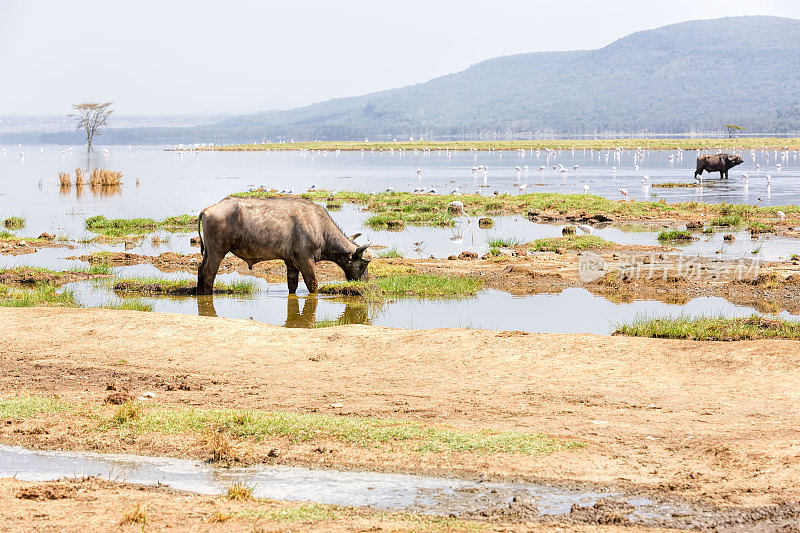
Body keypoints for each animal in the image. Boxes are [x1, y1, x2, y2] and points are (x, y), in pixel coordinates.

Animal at [197, 196, 372, 296]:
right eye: (364, 264)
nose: (366, 282)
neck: (319, 226)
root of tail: (207, 210)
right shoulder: (306, 260)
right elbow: (312, 284)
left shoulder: (291, 263)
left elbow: (292, 285)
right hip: (217, 251)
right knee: (209, 272)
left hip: (209, 251)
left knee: (200, 269)